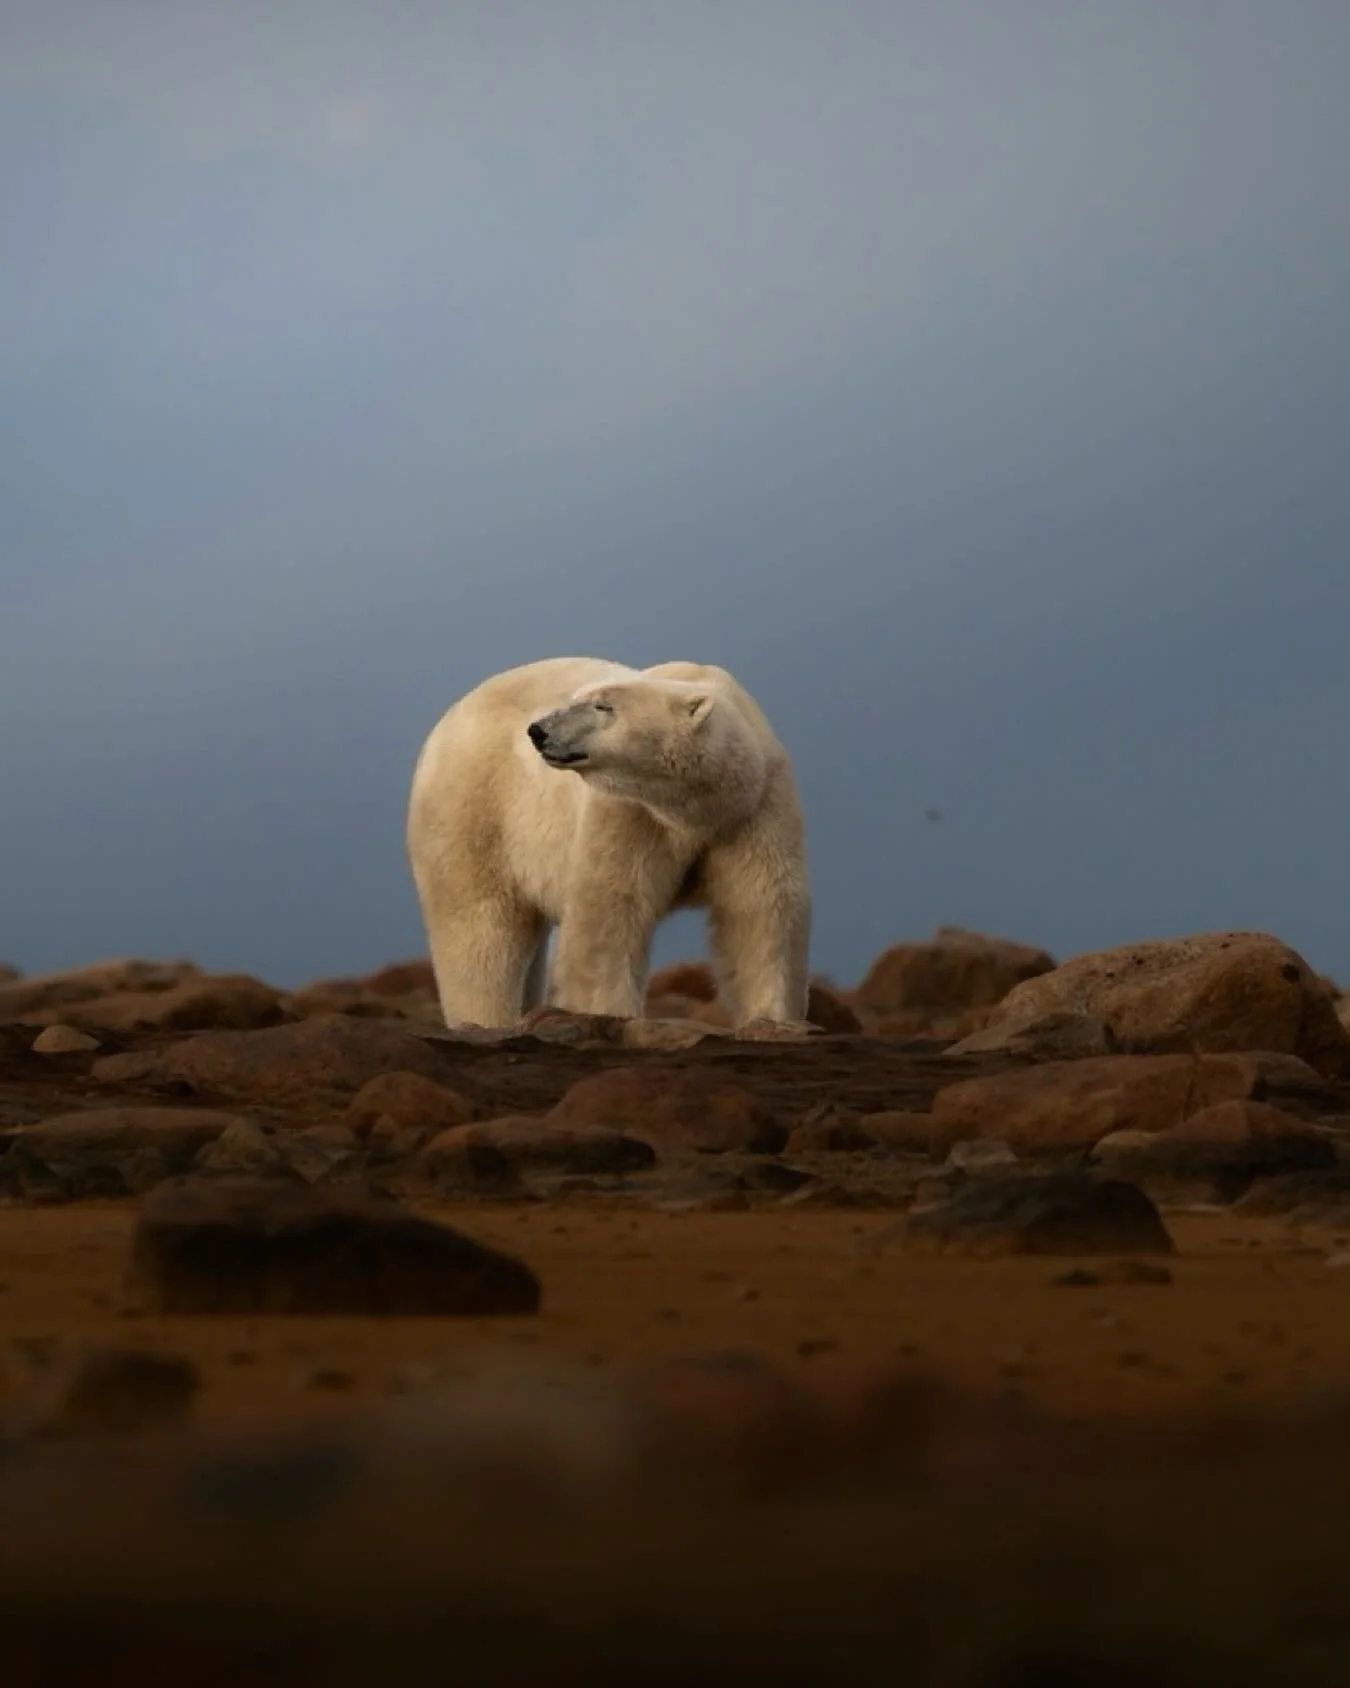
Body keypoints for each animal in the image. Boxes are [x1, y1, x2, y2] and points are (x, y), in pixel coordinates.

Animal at [405, 656, 810, 1029]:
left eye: (603, 706)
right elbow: (608, 913)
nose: (538, 730)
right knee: (479, 929)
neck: (696, 808)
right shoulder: (627, 812)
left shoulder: (756, 809)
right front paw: (607, 1014)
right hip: (476, 808)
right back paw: (486, 1021)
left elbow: (759, 909)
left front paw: (772, 1019)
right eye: (577, 699)